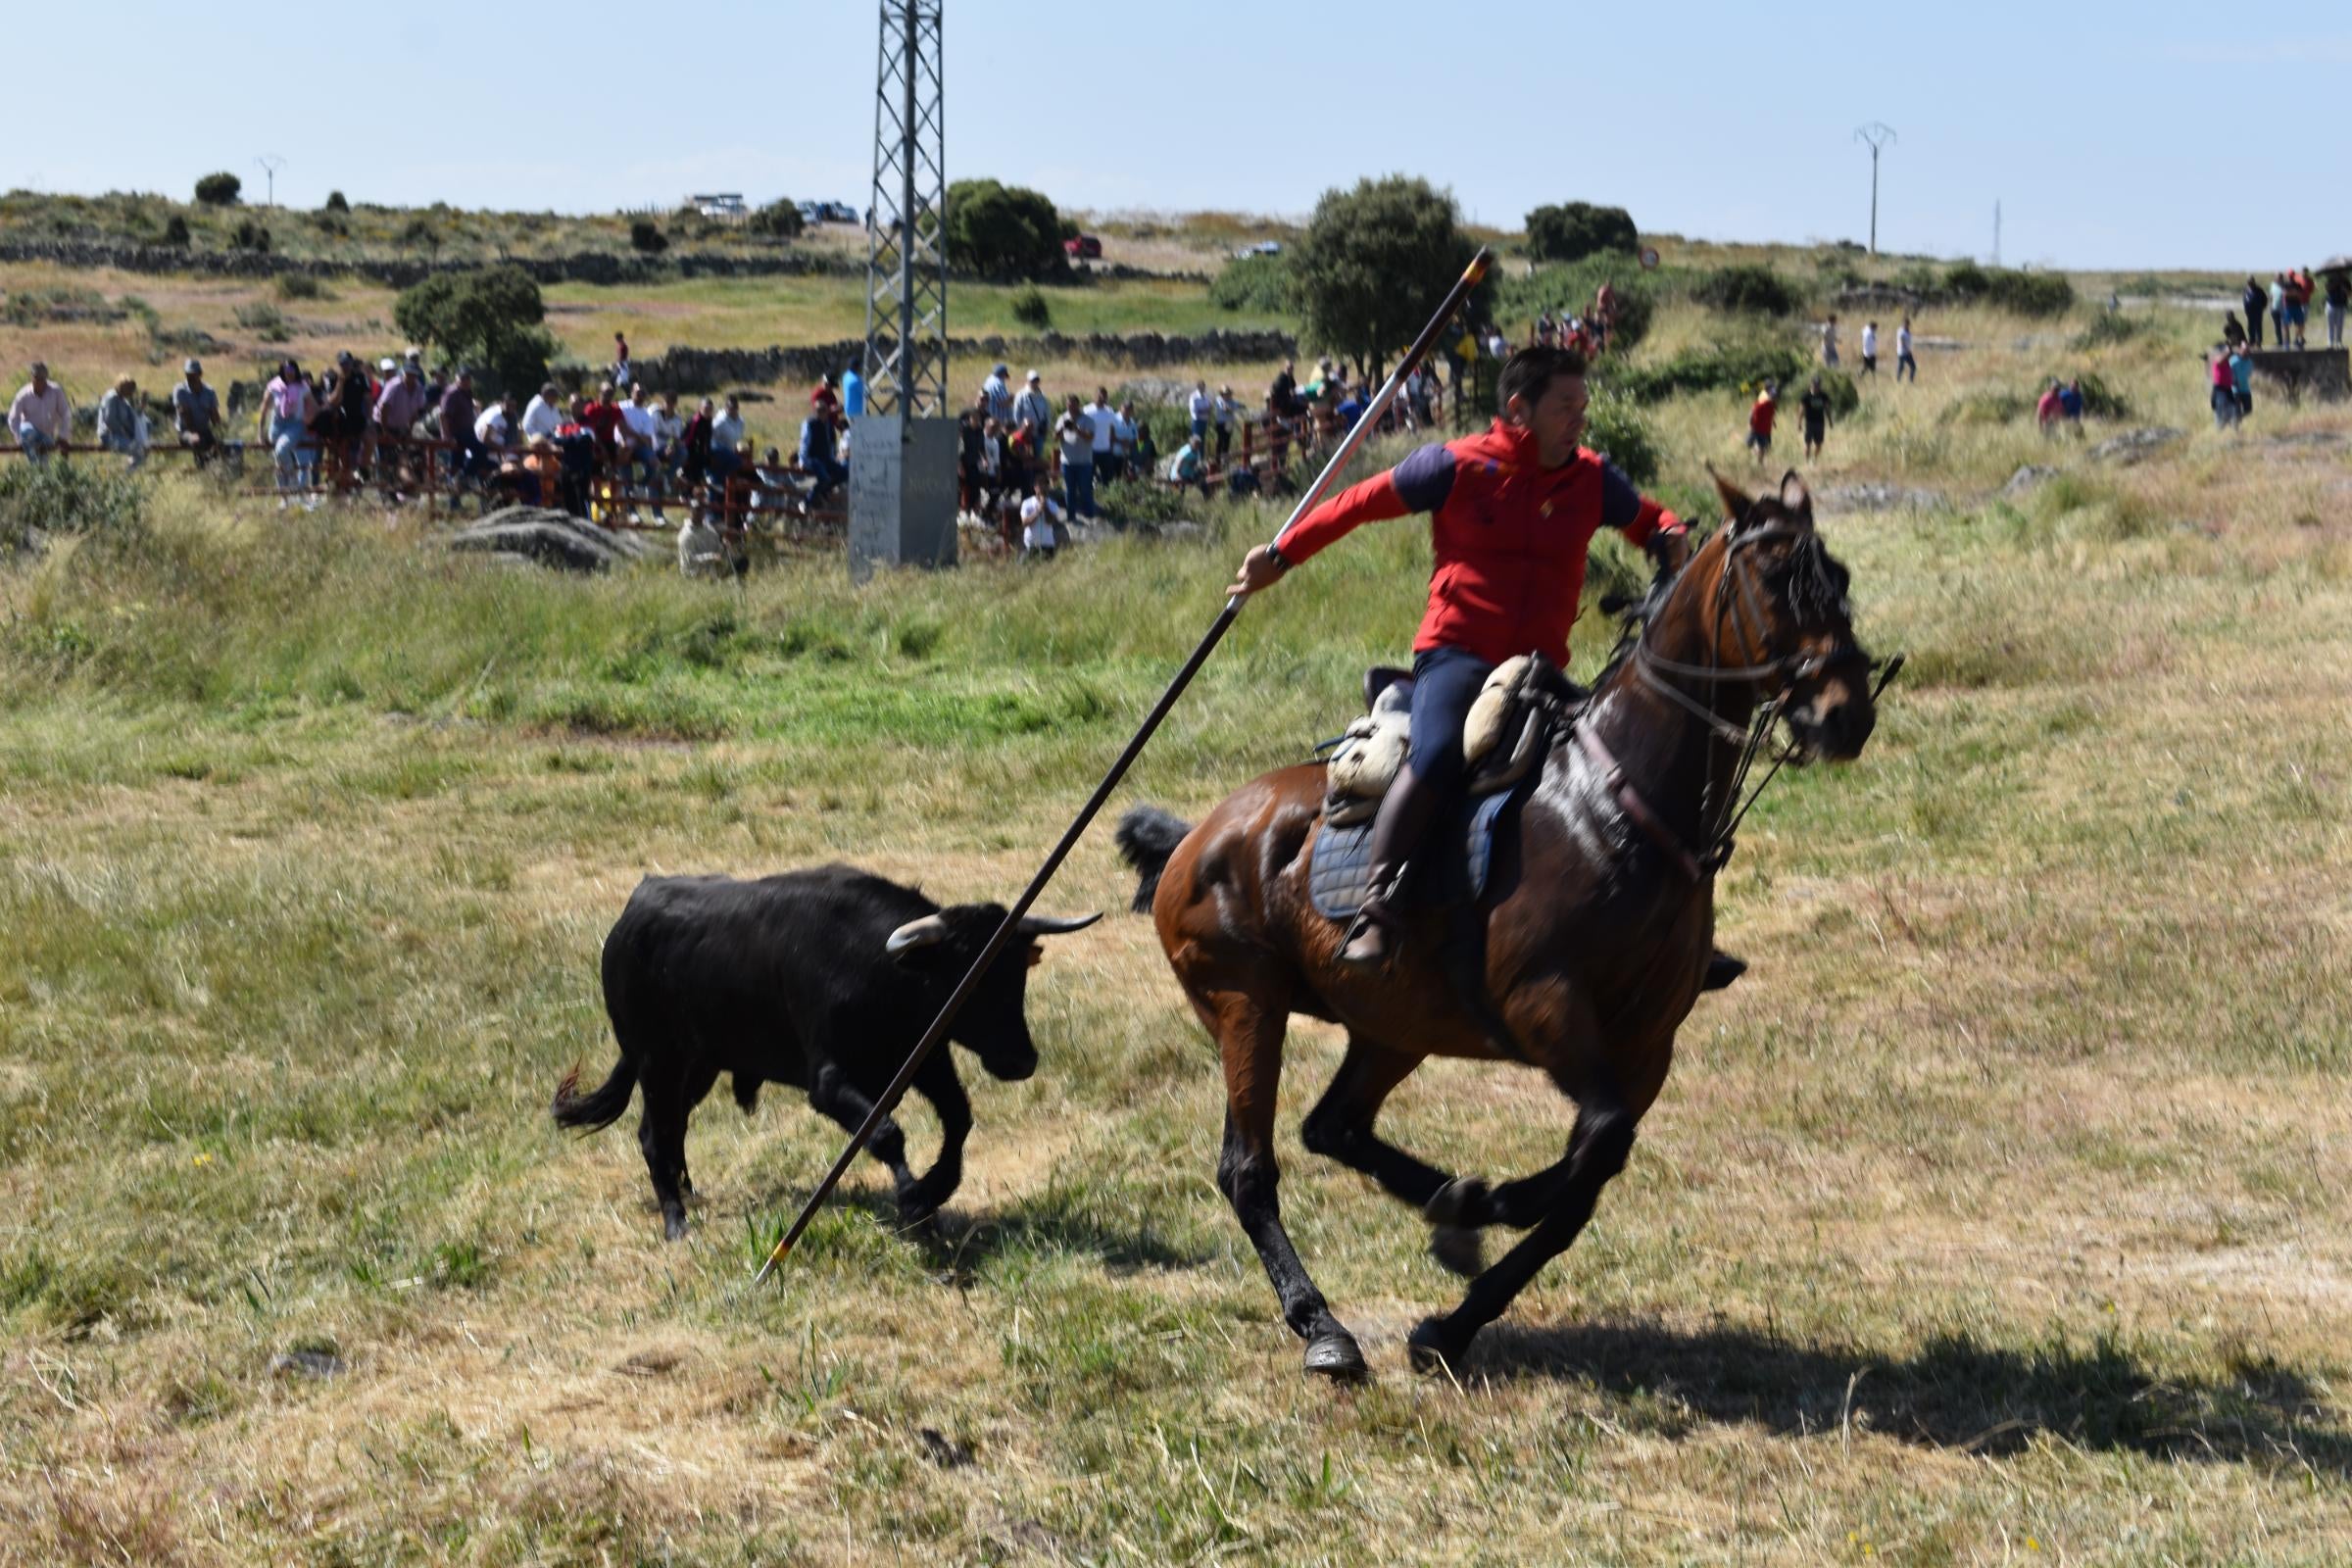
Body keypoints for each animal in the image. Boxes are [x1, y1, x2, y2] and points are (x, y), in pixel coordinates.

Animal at [1129, 472, 1882, 1382]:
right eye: (1777, 583)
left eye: (1838, 580)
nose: (1846, 716)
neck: (1614, 806)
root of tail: (1194, 835)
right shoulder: (1544, 1007)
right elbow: (1593, 1148)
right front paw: (1496, 1204)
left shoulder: (1645, 1048)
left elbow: (1587, 1180)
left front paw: (1454, 1316)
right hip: (1247, 1005)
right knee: (1250, 1170)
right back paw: (1324, 1323)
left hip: (1393, 1025)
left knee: (1334, 1127)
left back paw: (1444, 1203)